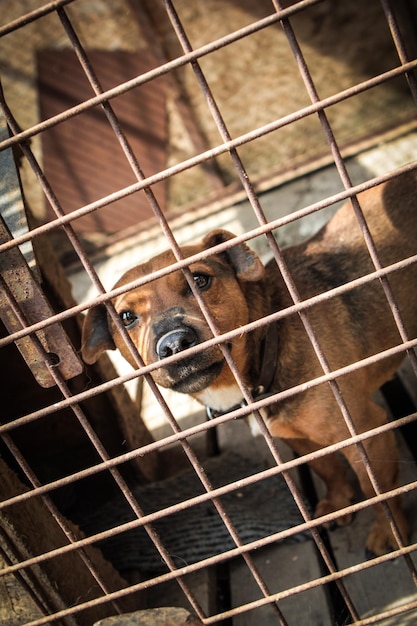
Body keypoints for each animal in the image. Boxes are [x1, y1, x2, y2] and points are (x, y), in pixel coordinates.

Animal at [82, 168, 416, 552]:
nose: (175, 343)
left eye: (200, 280)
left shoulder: (366, 430)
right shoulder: (297, 438)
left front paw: (389, 532)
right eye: (126, 317)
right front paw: (337, 501)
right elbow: (327, 467)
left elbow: (380, 489)